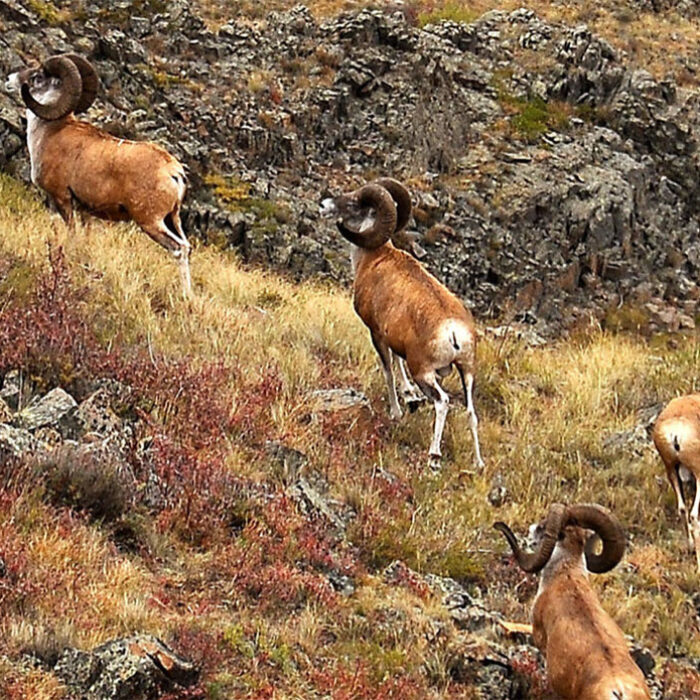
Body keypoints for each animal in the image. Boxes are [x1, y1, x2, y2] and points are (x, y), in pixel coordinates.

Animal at [4, 54, 191, 295]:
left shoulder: (61, 199)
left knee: (178, 249)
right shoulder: (86, 212)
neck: (48, 133)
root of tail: (174, 172)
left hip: (151, 222)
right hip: (172, 219)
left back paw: (185, 296)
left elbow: (71, 235)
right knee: (186, 246)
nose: (9, 80)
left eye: (37, 77)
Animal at [320, 178, 483, 468]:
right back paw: (478, 464)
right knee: (471, 413)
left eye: (353, 203)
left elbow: (388, 371)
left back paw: (434, 456)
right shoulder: (393, 339)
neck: (373, 258)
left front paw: (397, 411)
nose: (324, 205)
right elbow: (397, 362)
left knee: (443, 402)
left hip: (424, 371)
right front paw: (410, 396)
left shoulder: (376, 334)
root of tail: (453, 332)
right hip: (467, 372)